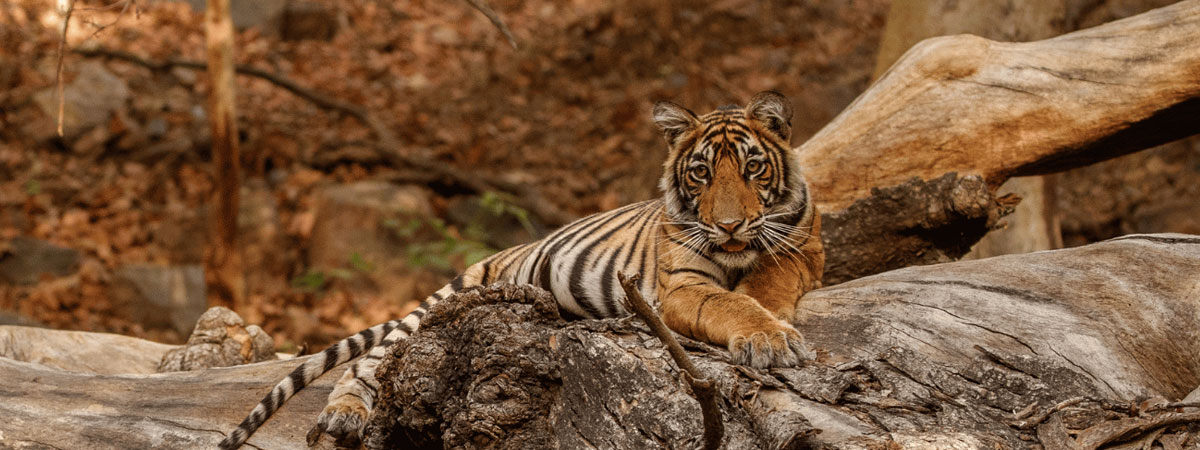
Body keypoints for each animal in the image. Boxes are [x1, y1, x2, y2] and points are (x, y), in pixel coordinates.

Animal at [219, 90, 824, 449]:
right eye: (701, 173)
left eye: (752, 167)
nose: (728, 224)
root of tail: (492, 257)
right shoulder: (680, 286)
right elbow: (726, 300)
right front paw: (769, 338)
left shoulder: (804, 249)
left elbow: (769, 277)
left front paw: (773, 324)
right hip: (441, 308)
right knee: (369, 362)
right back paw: (344, 414)